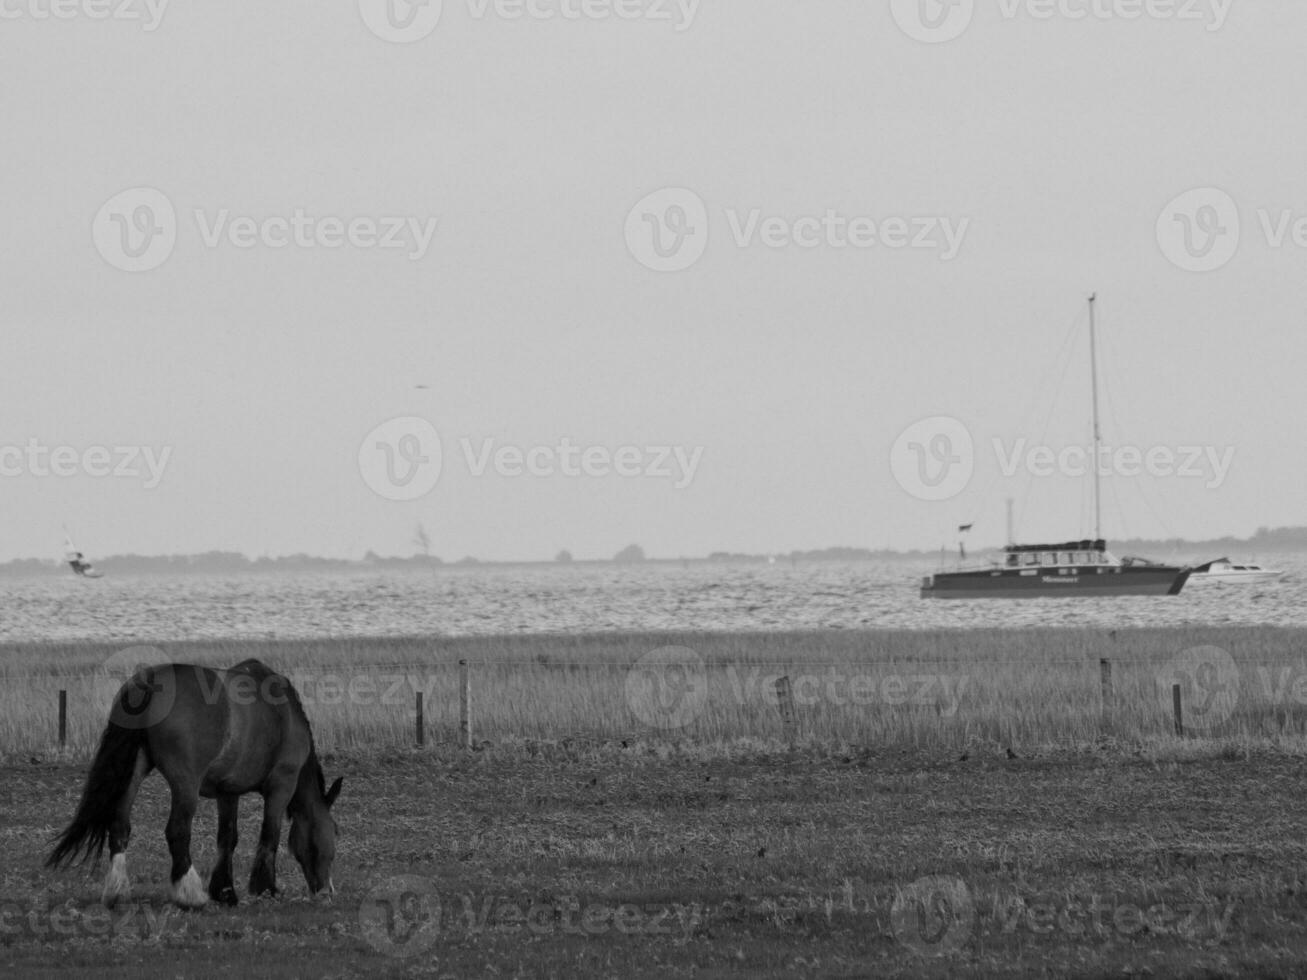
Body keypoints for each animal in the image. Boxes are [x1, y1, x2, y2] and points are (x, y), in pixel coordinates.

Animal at [46, 663, 342, 909]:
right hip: (185, 784)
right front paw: (265, 888)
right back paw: (189, 894)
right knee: (177, 830)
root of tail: (151, 681)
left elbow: (227, 838)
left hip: (134, 771)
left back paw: (117, 892)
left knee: (119, 825)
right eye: (334, 832)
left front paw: (225, 892)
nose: (327, 891)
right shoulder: (282, 785)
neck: (284, 714)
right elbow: (270, 835)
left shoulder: (228, 792)